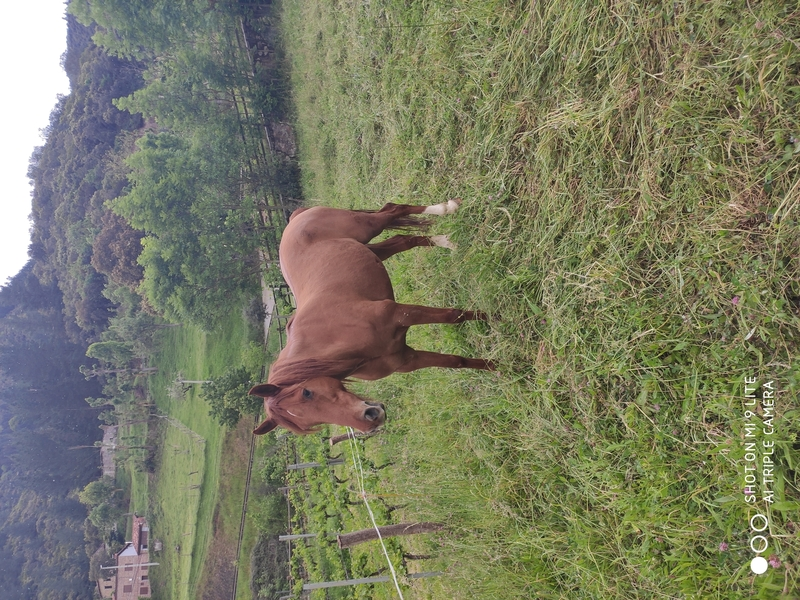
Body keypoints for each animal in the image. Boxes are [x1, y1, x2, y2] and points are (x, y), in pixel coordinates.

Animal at [249, 200, 493, 435]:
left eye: (306, 393)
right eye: (312, 424)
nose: (372, 420)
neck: (336, 336)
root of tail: (295, 219)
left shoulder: (401, 314)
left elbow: (454, 317)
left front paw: (495, 317)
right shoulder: (407, 359)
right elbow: (457, 361)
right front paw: (498, 367)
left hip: (368, 227)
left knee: (393, 209)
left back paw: (448, 208)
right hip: (372, 250)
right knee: (403, 240)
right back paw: (447, 241)